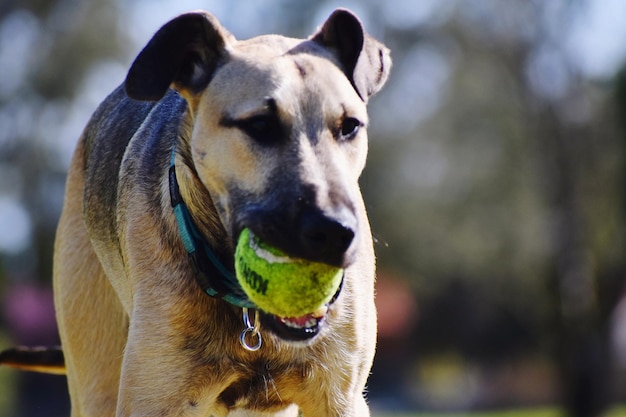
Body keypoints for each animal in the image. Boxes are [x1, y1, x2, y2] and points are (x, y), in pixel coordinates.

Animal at [1, 8, 390, 414]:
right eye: (260, 124)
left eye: (350, 126)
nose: (334, 232)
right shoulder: (153, 394)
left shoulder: (339, 395)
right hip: (95, 372)